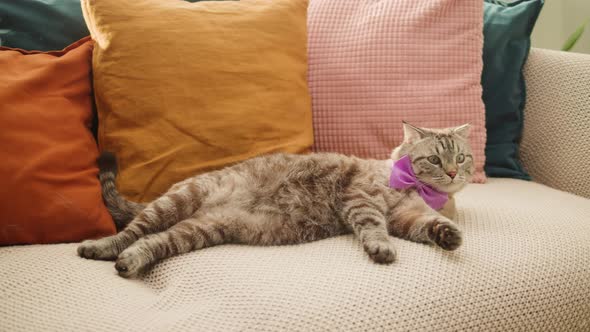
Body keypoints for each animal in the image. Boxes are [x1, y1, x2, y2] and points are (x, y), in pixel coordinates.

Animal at [78, 122, 476, 278]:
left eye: (461, 157)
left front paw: (449, 234)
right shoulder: (361, 199)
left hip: (194, 232)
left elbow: (428, 226)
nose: (452, 173)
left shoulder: (407, 217)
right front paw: (381, 248)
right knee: (129, 233)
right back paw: (99, 248)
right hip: (175, 203)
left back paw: (129, 261)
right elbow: (374, 228)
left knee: (150, 242)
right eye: (435, 159)